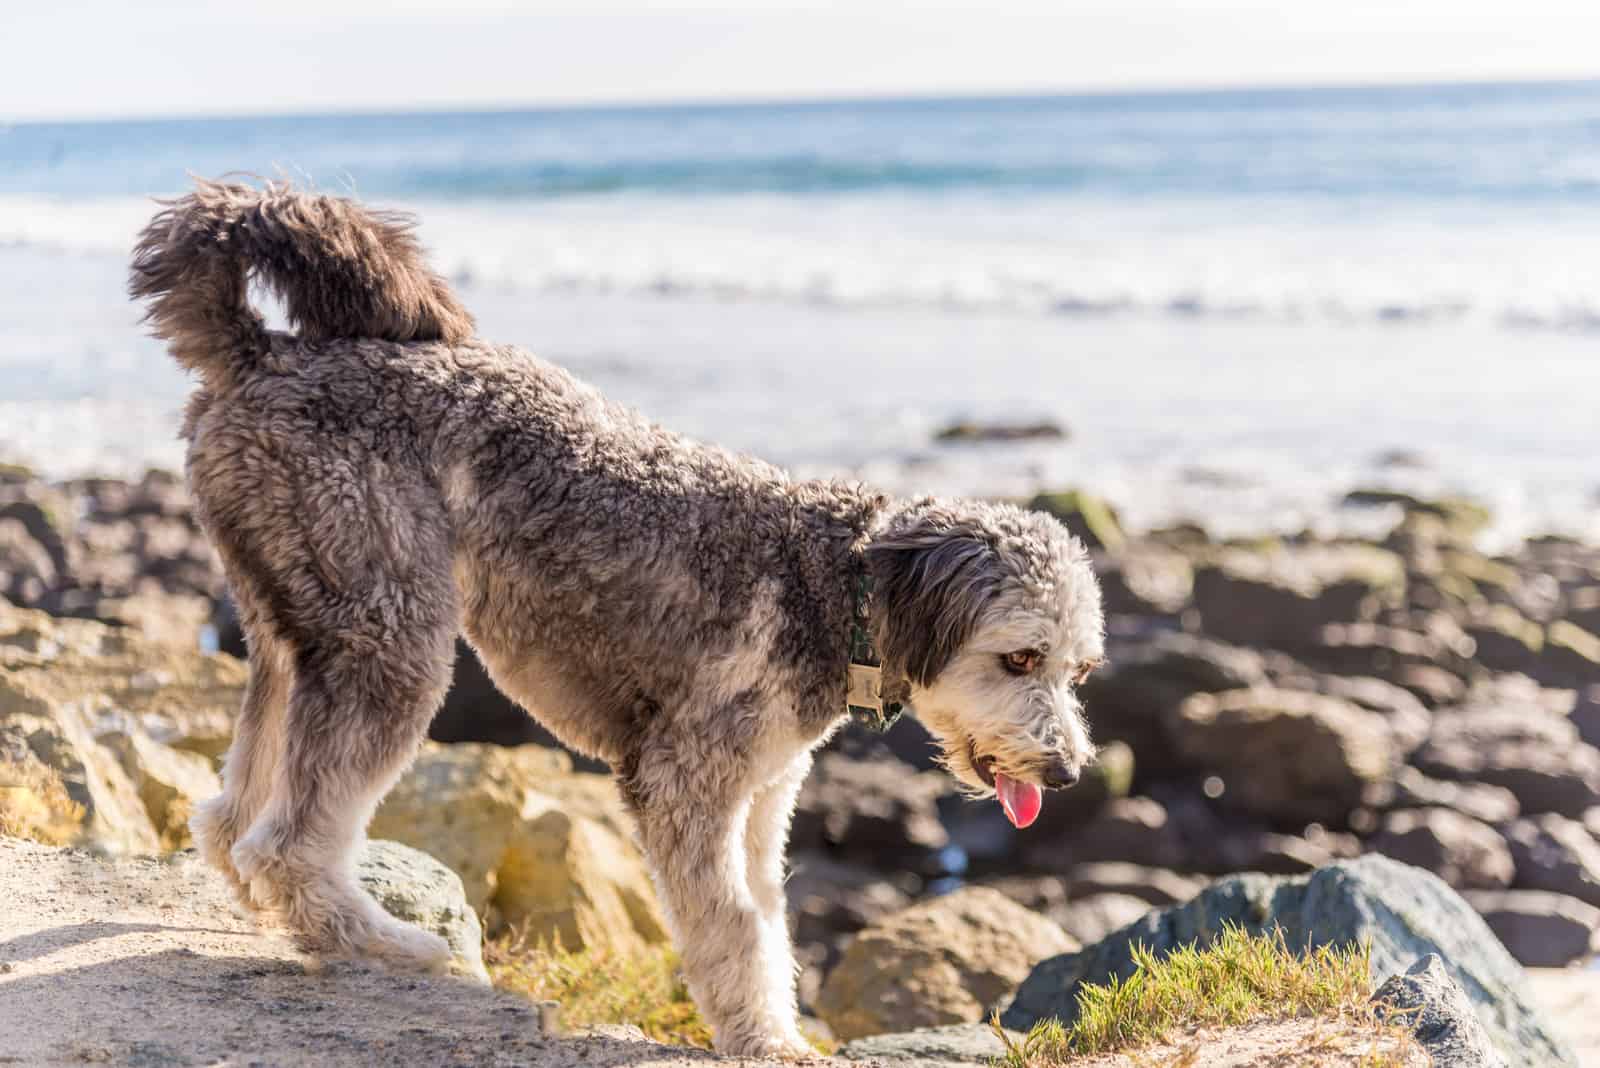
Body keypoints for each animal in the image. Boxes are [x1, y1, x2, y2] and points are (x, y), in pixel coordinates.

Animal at [131, 179, 1107, 1055]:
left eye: (1080, 671)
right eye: (1021, 658)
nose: (1064, 773)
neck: (835, 587)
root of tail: (261, 353)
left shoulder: (762, 798)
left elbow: (769, 922)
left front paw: (776, 1026)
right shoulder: (686, 781)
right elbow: (734, 929)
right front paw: (763, 1040)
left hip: (295, 625)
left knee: (230, 816)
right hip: (389, 638)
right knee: (288, 844)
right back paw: (383, 944)